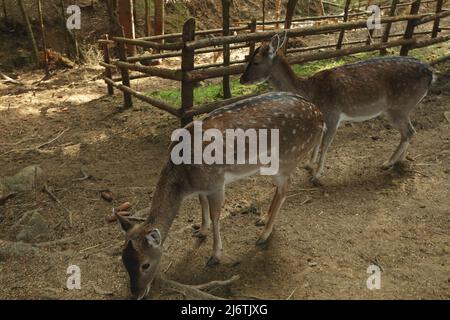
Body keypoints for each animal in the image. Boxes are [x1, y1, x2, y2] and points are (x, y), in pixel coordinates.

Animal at [115, 90, 324, 300]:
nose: (136, 294)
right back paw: (262, 219)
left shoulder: (216, 183)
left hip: (288, 158)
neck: (185, 182)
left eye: (145, 264)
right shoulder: (203, 187)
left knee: (284, 189)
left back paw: (264, 235)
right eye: (123, 261)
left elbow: (216, 216)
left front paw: (215, 256)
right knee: (279, 190)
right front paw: (201, 231)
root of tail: (320, 115)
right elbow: (202, 204)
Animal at [241, 33, 434, 182]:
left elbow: (325, 144)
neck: (311, 92)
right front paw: (308, 165)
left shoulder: (333, 114)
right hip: (402, 108)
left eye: (256, 61)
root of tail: (430, 73)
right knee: (409, 132)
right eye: (248, 58)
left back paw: (388, 162)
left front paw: (317, 174)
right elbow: (318, 141)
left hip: (399, 107)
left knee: (409, 131)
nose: (242, 79)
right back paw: (399, 161)